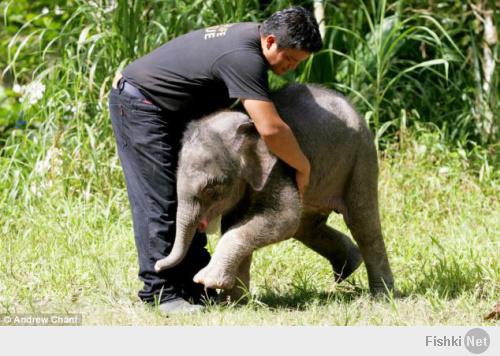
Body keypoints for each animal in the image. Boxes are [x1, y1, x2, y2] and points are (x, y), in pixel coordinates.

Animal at [155, 83, 394, 298]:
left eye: (212, 187)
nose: (157, 265)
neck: (246, 123)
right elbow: (236, 223)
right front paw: (235, 302)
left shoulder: (278, 169)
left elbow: (284, 219)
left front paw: (207, 281)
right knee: (306, 227)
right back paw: (350, 266)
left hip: (360, 156)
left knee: (362, 223)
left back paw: (381, 295)